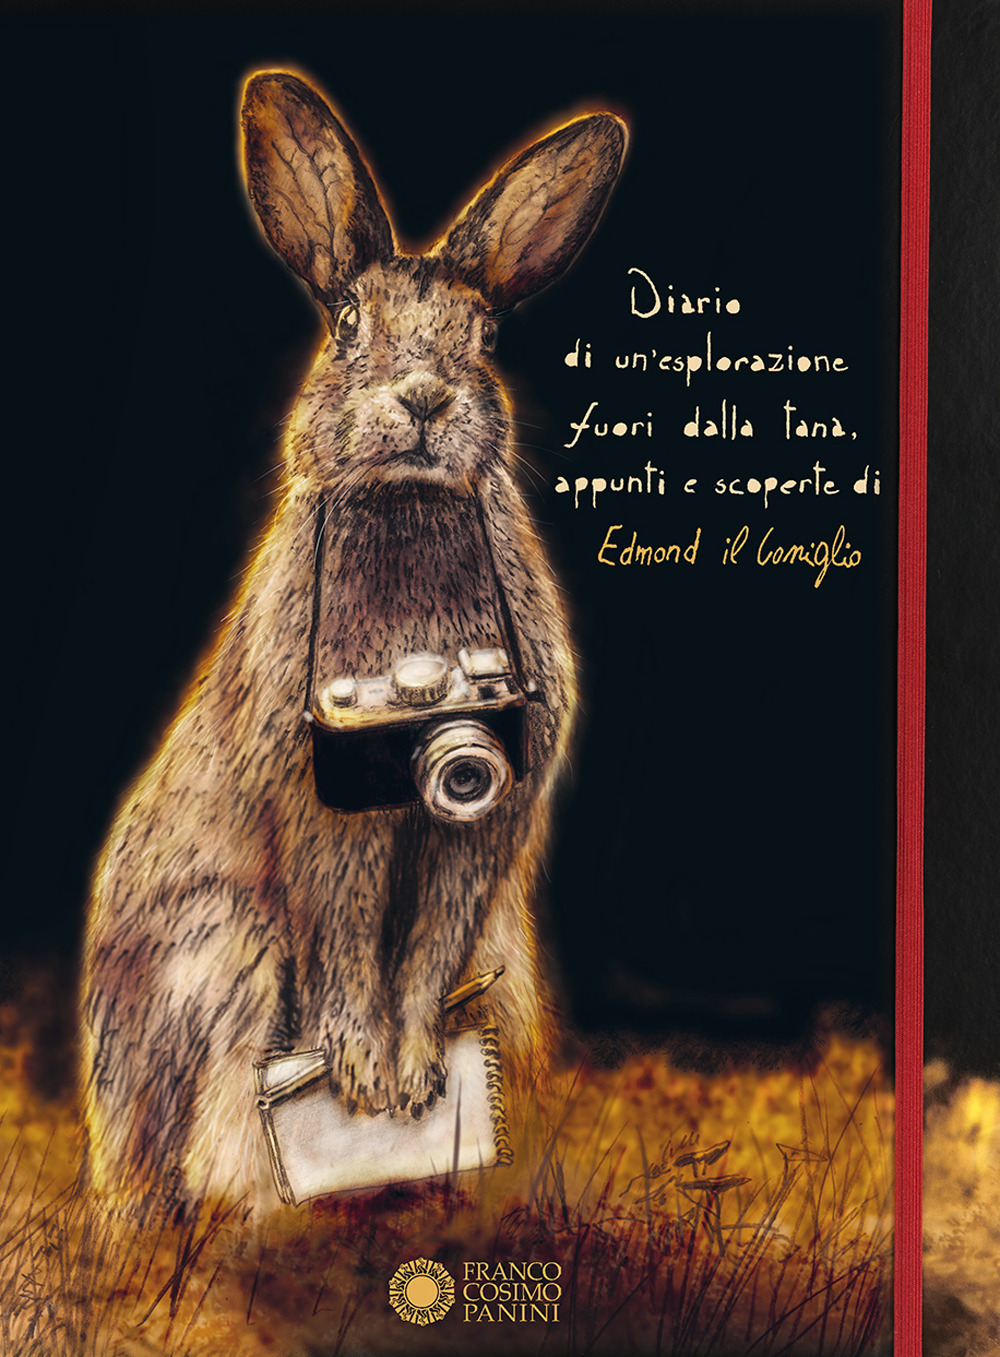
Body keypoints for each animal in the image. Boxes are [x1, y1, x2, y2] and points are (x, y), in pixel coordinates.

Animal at [81, 69, 627, 1214]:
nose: (424, 398)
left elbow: (427, 947)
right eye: (344, 322)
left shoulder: (482, 818)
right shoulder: (331, 805)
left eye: (487, 335)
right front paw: (367, 1078)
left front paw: (412, 1079)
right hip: (225, 954)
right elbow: (346, 936)